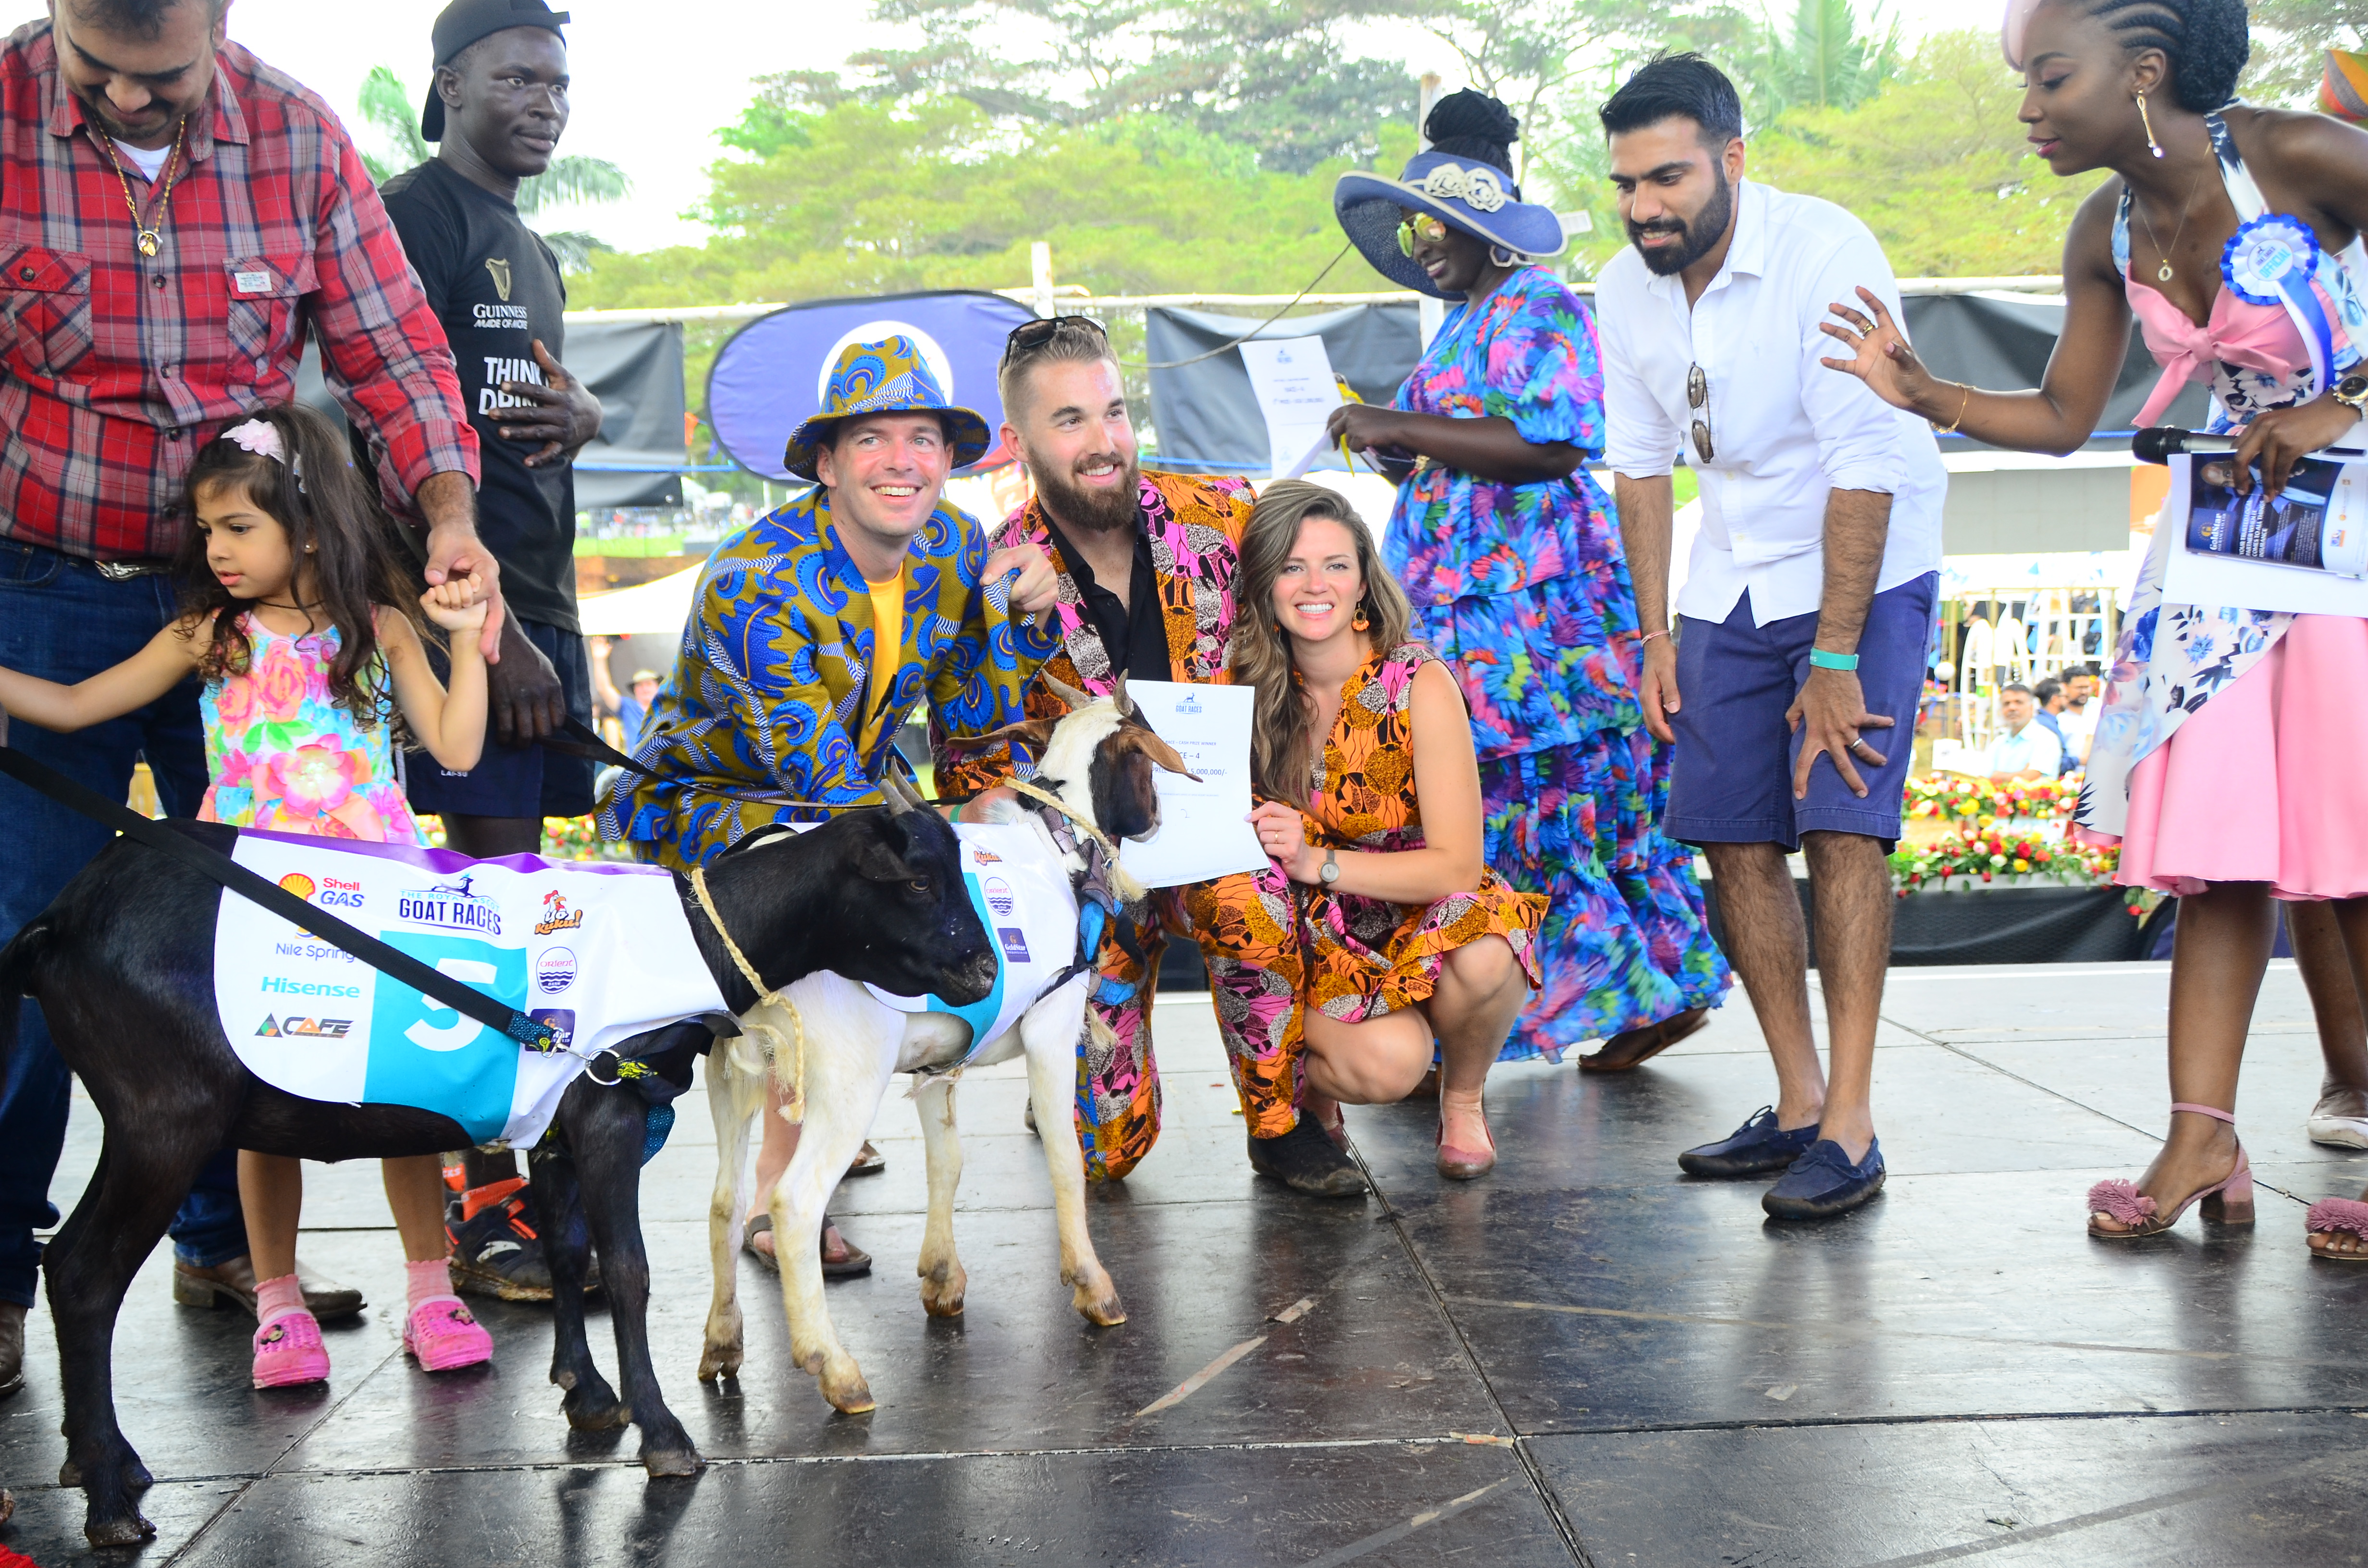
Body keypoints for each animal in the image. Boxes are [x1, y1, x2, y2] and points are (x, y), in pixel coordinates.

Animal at [0, 791, 999, 1554]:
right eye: (916, 879)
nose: (983, 966)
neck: (686, 939)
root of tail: (58, 922)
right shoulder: (606, 1105)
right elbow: (627, 1268)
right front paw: (663, 1433)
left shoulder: (553, 1111)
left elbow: (564, 1248)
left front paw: (587, 1395)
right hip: (161, 1117)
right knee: (81, 1271)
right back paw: (111, 1497)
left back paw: (103, 1460)